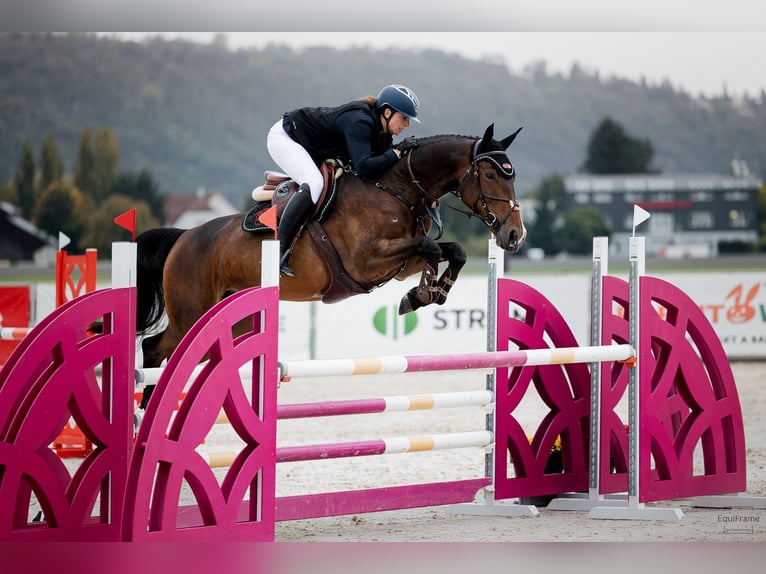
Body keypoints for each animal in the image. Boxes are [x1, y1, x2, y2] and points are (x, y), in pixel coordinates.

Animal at [136, 123, 526, 368]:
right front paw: (421, 294)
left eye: (513, 175)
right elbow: (431, 248)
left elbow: (452, 251)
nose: (515, 235)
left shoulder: (400, 263)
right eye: (490, 174)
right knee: (155, 348)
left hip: (230, 320)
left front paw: (428, 293)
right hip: (192, 313)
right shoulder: (365, 261)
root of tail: (184, 237)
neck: (397, 187)